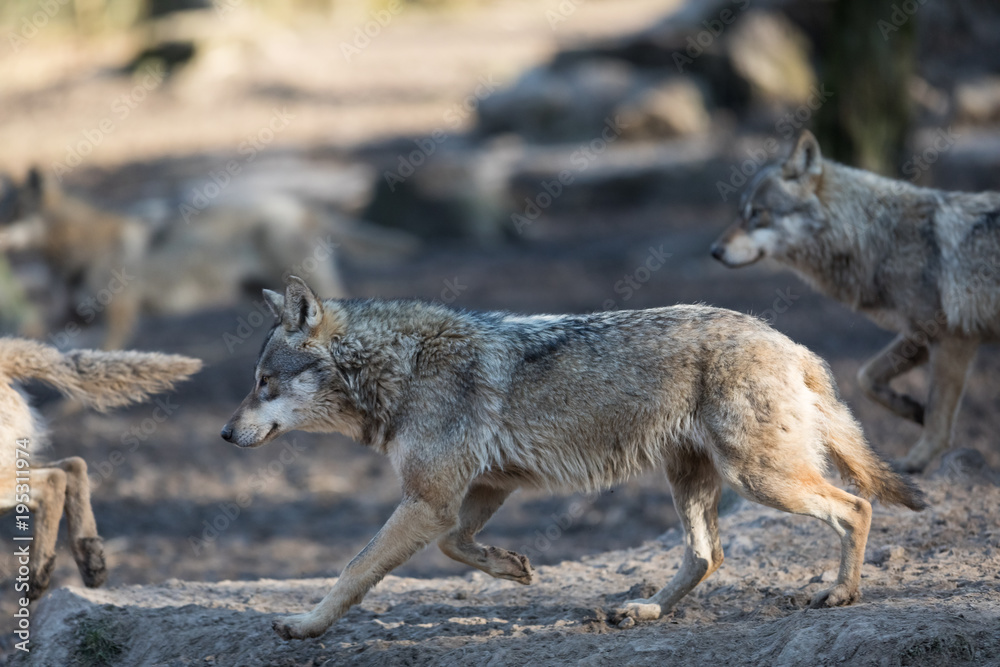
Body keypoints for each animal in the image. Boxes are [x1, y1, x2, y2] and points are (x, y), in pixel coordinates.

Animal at [221, 276, 925, 640]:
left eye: (263, 384)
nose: (226, 433)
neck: (404, 368)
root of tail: (792, 344)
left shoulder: (429, 499)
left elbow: (354, 570)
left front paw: (306, 625)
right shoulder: (481, 490)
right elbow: (455, 547)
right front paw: (510, 568)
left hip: (759, 479)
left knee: (855, 506)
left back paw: (841, 593)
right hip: (694, 481)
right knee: (708, 555)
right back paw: (644, 612)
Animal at [710, 130, 1000, 473]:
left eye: (757, 213)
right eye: (742, 213)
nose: (714, 251)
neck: (878, 237)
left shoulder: (953, 339)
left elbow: (938, 420)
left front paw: (914, 462)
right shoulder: (917, 336)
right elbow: (866, 378)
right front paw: (912, 408)